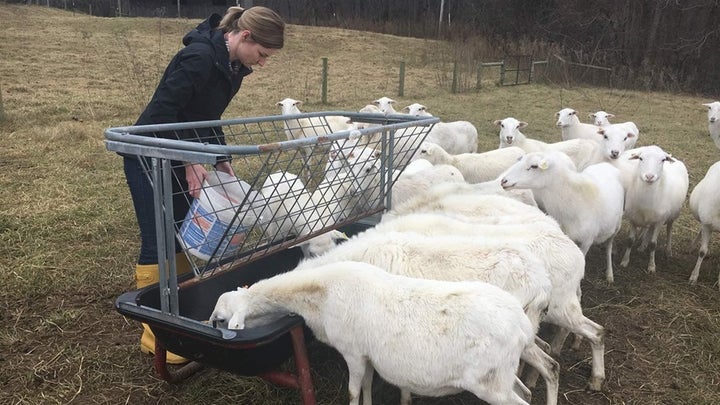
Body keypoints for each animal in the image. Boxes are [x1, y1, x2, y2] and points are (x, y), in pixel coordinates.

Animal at [211, 262, 544, 404]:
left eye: (220, 319)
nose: (209, 324)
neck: (321, 292)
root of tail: (522, 325)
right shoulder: (367, 355)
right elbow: (368, 386)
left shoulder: (352, 352)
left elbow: (352, 390)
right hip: (502, 374)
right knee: (526, 392)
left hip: (490, 385)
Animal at [500, 151, 624, 280]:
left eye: (534, 166)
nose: (503, 181)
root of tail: (607, 165)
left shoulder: (587, 241)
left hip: (617, 225)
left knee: (609, 246)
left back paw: (609, 273)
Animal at [616, 144, 688, 272]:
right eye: (640, 158)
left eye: (663, 160)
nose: (649, 176)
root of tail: (676, 159)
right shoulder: (632, 219)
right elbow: (630, 241)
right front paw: (624, 261)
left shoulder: (660, 221)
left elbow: (653, 244)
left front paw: (651, 266)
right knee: (649, 229)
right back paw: (642, 246)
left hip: (673, 215)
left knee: (669, 230)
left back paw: (668, 251)